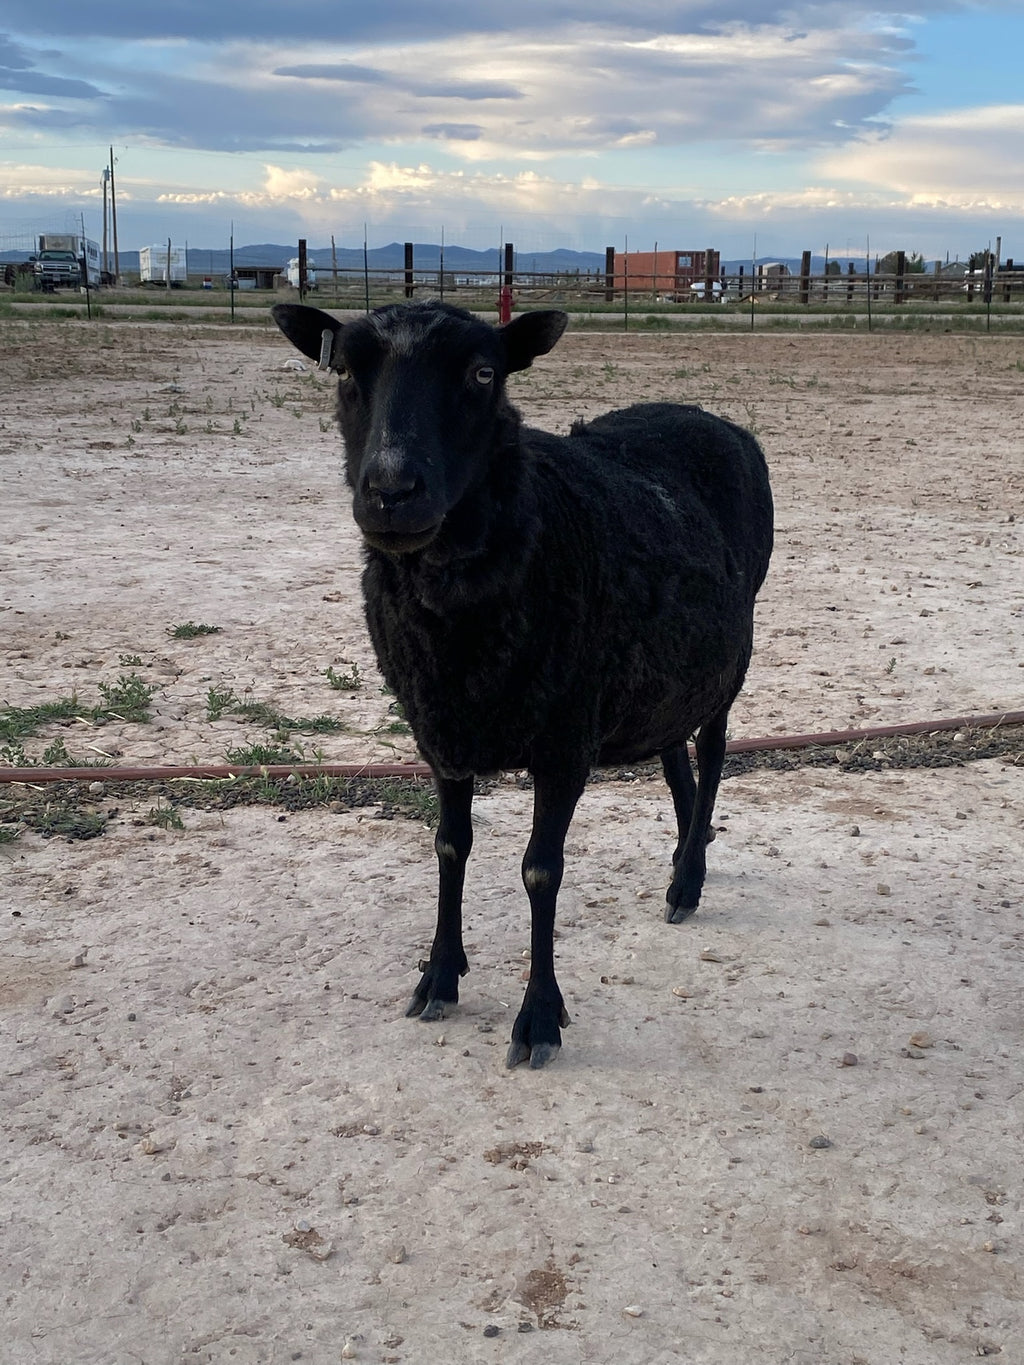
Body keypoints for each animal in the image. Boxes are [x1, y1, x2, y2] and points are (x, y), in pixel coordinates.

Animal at [271, 299, 773, 1069]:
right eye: (345, 369)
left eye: (485, 373)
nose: (391, 492)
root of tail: (714, 418)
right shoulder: (439, 730)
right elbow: (449, 848)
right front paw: (439, 975)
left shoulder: (564, 742)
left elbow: (542, 871)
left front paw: (538, 1017)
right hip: (665, 668)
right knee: (672, 753)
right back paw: (691, 850)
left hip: (730, 657)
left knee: (713, 754)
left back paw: (688, 878)